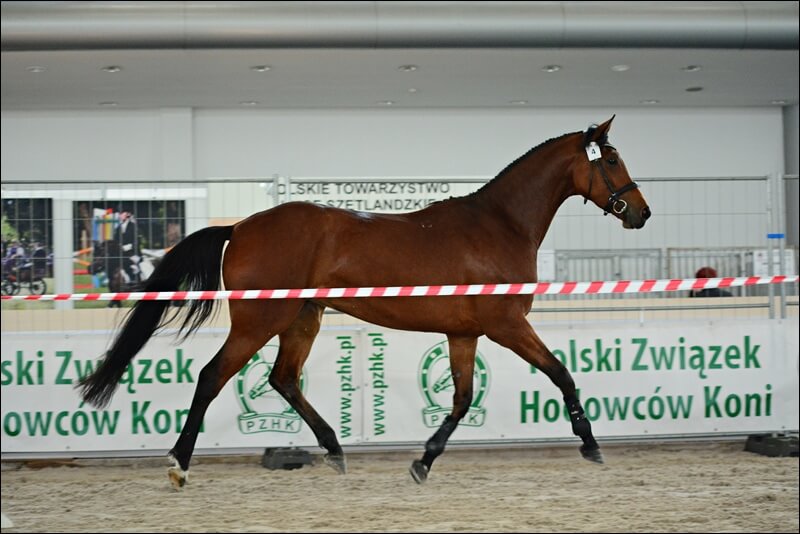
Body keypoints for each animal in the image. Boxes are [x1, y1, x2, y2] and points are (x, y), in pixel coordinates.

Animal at [76, 116, 648, 490]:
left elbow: (462, 400)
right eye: (612, 159)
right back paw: (179, 464)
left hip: (302, 320)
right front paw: (590, 444)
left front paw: (423, 462)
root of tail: (238, 228)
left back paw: (333, 450)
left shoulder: (464, 333)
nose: (640, 212)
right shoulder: (507, 324)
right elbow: (562, 373)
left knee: (282, 379)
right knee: (213, 376)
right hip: (260, 321)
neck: (499, 226)